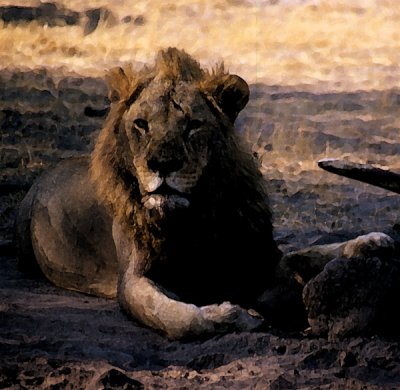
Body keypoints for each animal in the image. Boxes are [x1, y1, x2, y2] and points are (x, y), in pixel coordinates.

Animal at [15, 48, 282, 340]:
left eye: (193, 125)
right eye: (141, 125)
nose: (162, 164)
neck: (192, 218)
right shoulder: (133, 280)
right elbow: (175, 317)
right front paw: (234, 316)